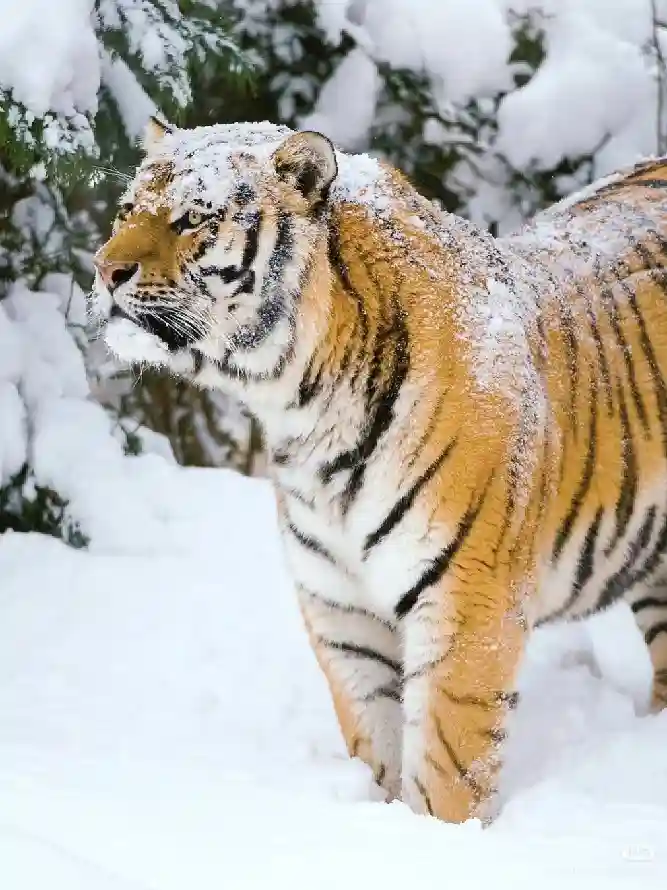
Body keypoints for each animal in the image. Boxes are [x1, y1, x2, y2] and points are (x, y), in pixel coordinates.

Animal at [95, 116, 667, 825]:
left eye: (193, 218)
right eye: (127, 210)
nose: (105, 270)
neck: (306, 416)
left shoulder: (468, 608)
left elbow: (447, 767)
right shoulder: (341, 611)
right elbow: (376, 739)